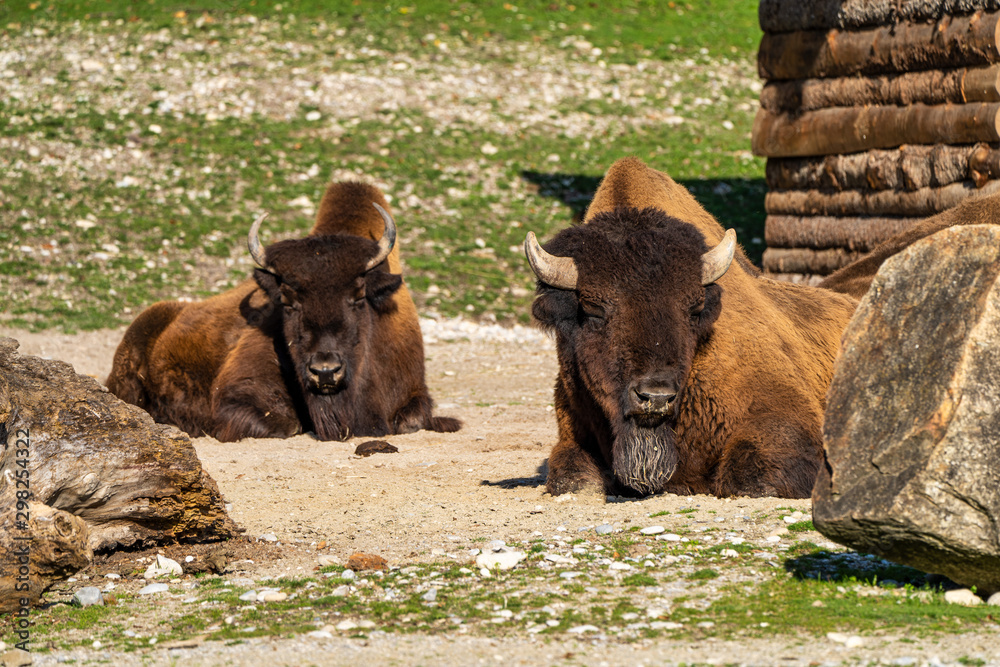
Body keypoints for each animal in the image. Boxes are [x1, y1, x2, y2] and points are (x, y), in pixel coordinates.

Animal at [106, 181, 460, 442]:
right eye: (288, 301)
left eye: (358, 296)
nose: (325, 371)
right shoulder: (234, 396)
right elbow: (287, 425)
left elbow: (412, 421)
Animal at [525, 157, 857, 498]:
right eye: (593, 308)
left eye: (693, 308)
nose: (656, 397)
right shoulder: (572, 432)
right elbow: (571, 476)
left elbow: (751, 476)